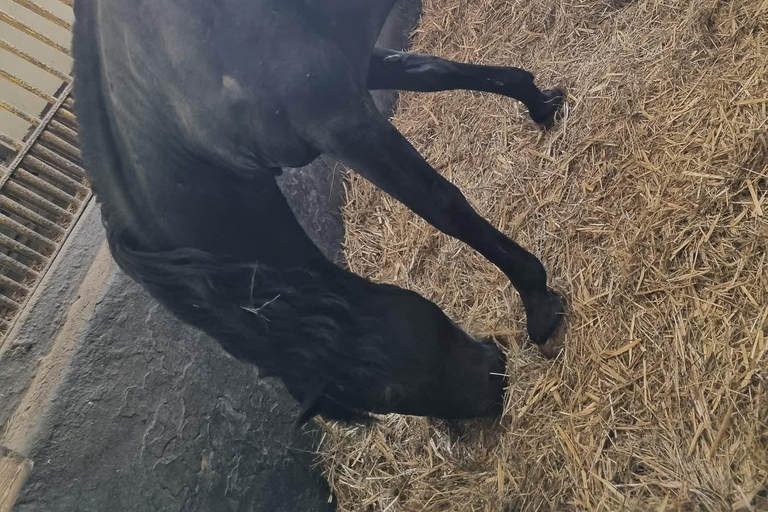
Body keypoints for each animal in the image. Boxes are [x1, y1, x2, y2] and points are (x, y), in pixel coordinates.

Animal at [72, 0, 566, 425]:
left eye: (390, 394)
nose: (493, 388)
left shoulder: (340, 121)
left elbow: (444, 208)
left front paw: (538, 304)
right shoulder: (355, 74)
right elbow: (434, 70)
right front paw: (539, 100)